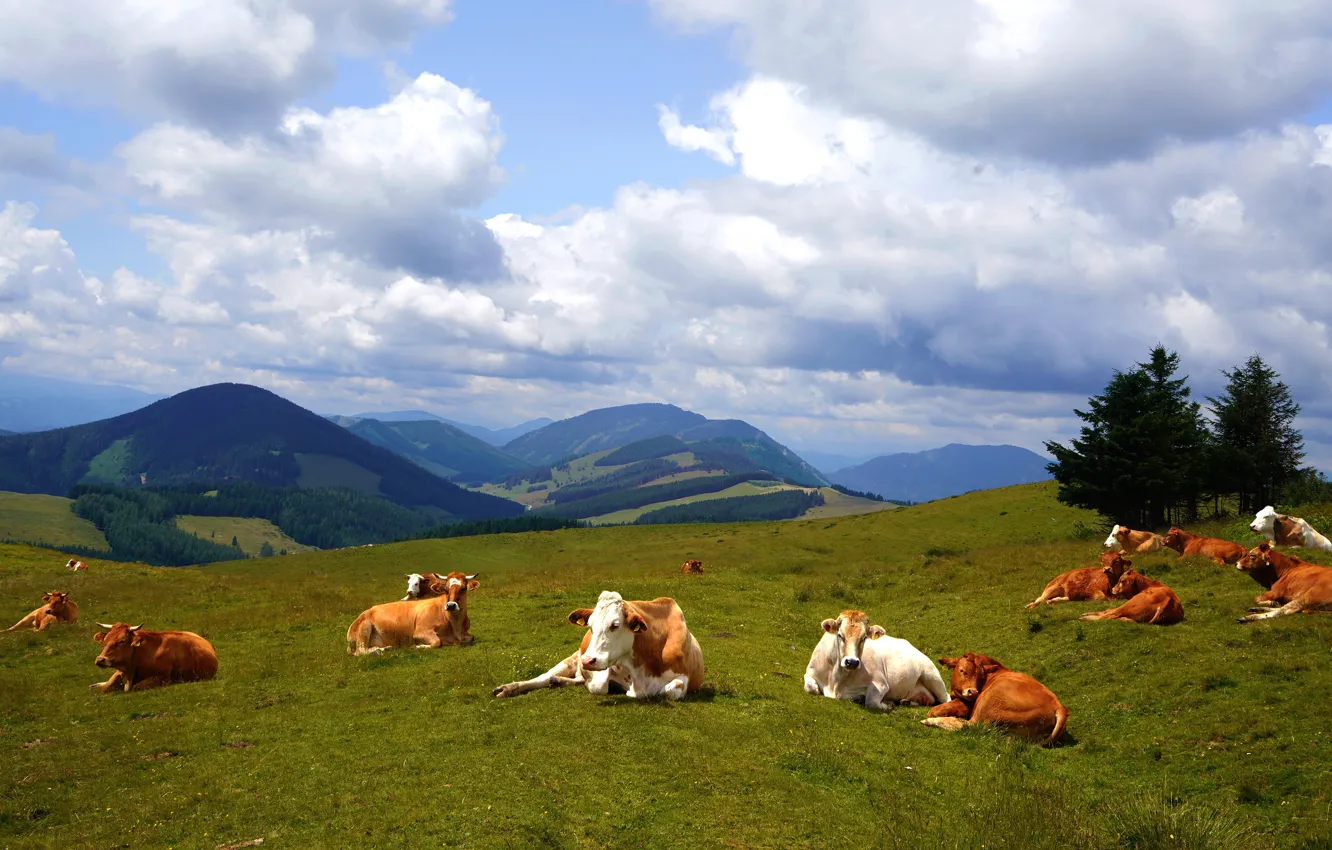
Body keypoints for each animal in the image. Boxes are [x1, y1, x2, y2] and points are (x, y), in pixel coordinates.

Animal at [347, 571, 479, 655]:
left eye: (463, 588)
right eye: (446, 589)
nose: (451, 605)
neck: (455, 625)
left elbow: (471, 637)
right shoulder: (421, 632)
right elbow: (437, 642)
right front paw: (417, 646)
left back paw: (386, 648)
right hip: (365, 626)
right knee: (360, 651)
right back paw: (379, 650)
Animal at [492, 591, 704, 701]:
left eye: (615, 625)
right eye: (590, 626)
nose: (588, 660)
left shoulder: (684, 677)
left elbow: (670, 690)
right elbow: (598, 686)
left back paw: (558, 681)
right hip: (573, 657)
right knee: (544, 676)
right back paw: (509, 688)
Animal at [802, 610, 948, 710]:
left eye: (864, 638)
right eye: (840, 635)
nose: (852, 662)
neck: (837, 680)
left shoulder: (881, 683)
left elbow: (871, 701)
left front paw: (888, 704)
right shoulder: (810, 672)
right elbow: (811, 688)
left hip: (932, 676)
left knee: (945, 698)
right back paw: (905, 702)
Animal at [921, 652, 1069, 747]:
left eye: (980, 675)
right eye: (962, 670)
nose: (973, 692)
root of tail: (1059, 706)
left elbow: (935, 710)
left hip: (988, 704)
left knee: (969, 726)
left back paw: (930, 721)